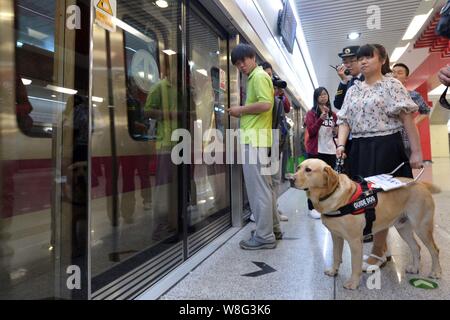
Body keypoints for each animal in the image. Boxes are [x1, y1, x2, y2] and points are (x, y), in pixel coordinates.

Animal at [292, 159, 442, 290]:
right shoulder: (336, 236)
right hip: (403, 228)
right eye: (298, 168)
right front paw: (334, 271)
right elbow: (336, 256)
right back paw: (415, 268)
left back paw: (436, 272)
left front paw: (353, 283)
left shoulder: (355, 241)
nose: (290, 179)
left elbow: (355, 264)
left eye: (308, 170)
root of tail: (420, 183)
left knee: (434, 250)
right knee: (416, 247)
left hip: (422, 227)